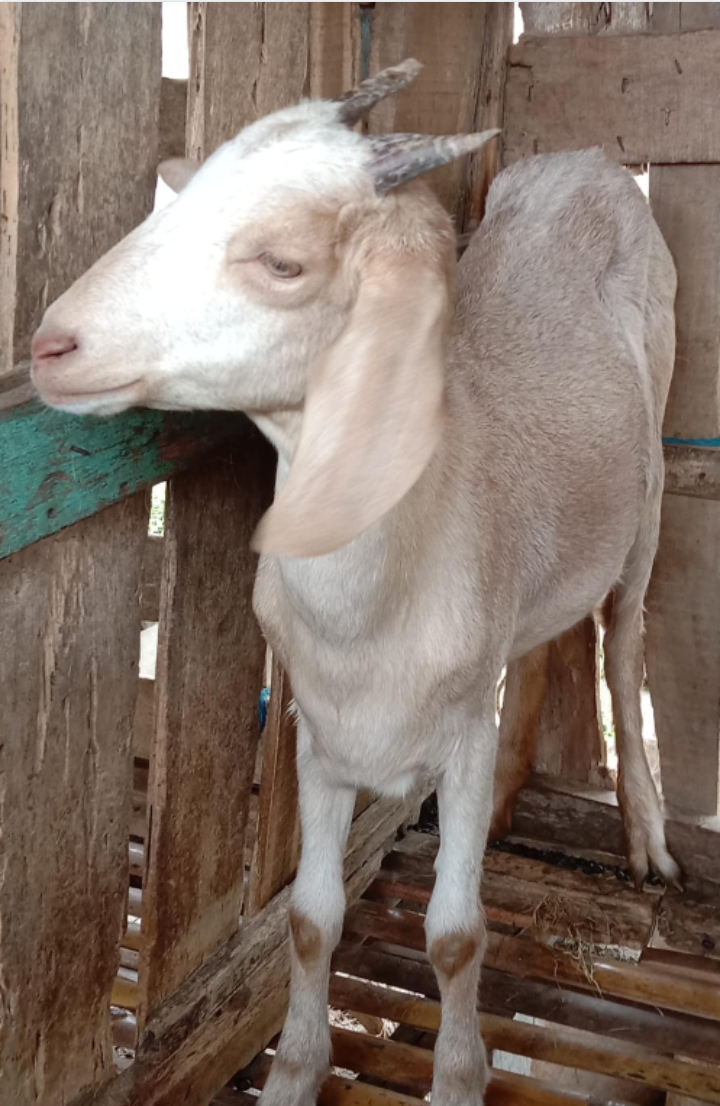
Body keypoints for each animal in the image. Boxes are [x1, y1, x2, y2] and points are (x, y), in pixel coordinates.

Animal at [31, 60, 679, 1106]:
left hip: (654, 474)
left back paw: (649, 841)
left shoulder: (457, 739)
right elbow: (310, 919)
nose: (52, 345)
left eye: (283, 263)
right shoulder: (320, 739)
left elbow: (454, 937)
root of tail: (587, 159)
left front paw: (457, 1078)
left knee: (623, 637)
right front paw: (297, 1070)